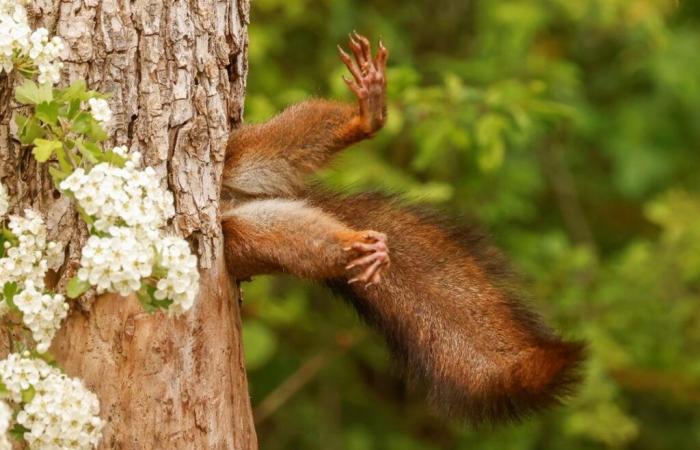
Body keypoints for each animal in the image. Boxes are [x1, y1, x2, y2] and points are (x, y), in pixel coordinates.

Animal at [223, 33, 584, 424]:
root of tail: (232, 201)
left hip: (239, 154)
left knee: (282, 143)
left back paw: (366, 118)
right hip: (242, 237)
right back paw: (358, 246)